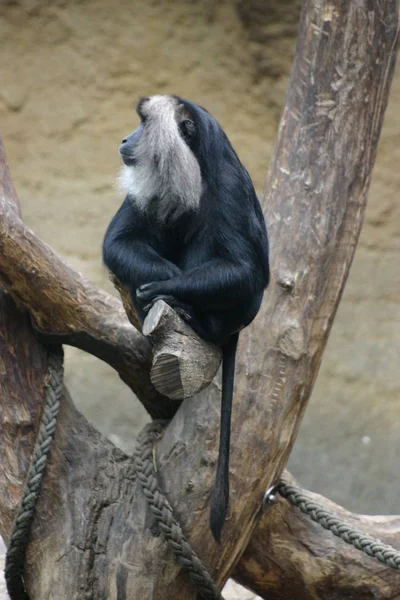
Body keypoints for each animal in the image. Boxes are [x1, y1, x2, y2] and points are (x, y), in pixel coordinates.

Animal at [103, 95, 268, 544]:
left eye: (143, 124)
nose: (124, 138)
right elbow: (118, 242)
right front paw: (155, 288)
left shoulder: (229, 185)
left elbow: (248, 273)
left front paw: (166, 289)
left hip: (232, 316)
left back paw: (190, 314)